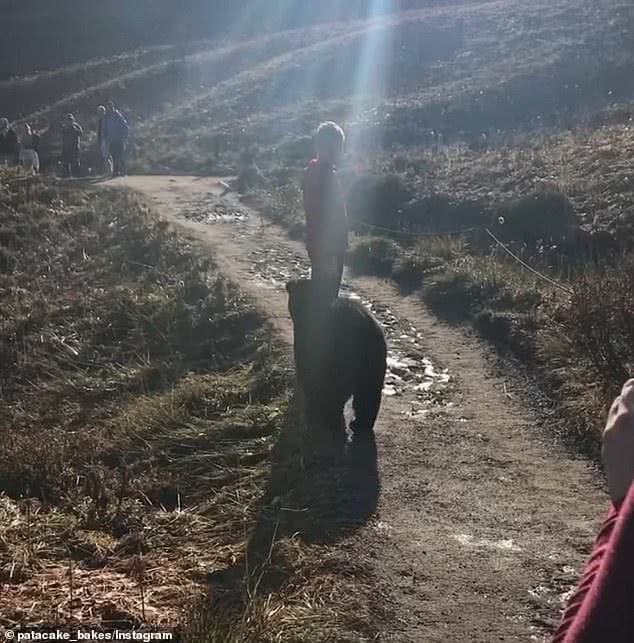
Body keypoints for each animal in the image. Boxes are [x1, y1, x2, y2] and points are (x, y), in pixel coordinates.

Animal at [286, 278, 387, 436]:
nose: (288, 284)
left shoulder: (310, 340)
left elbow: (309, 375)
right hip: (375, 356)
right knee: (369, 392)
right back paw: (360, 423)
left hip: (345, 353)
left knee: (340, 389)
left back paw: (331, 417)